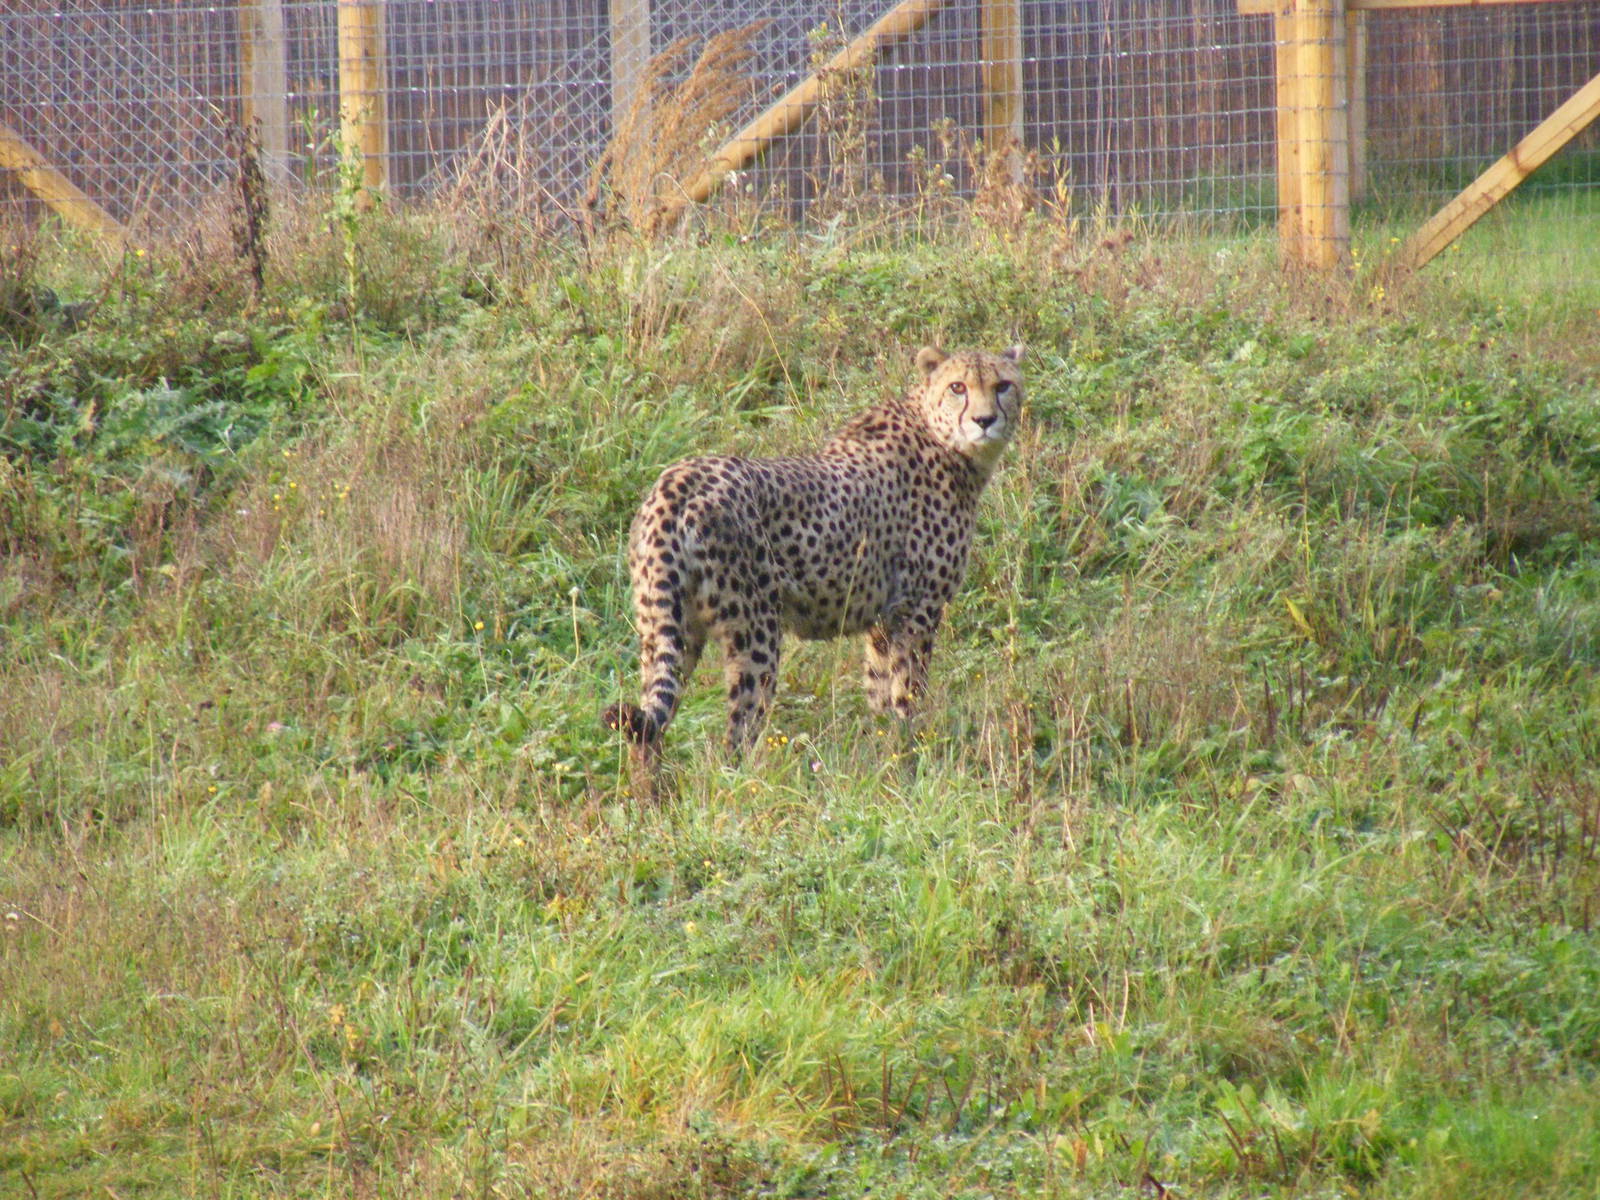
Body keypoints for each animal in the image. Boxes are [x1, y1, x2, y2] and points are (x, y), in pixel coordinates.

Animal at [603, 342, 1025, 793]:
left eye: (1003, 385)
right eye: (957, 387)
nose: (985, 420)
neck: (943, 438)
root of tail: (676, 480)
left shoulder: (882, 621)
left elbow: (880, 694)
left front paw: (887, 756)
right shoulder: (917, 610)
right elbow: (908, 694)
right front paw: (914, 762)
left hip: (668, 626)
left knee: (650, 722)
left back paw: (648, 796)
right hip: (755, 631)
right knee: (737, 733)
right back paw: (745, 791)